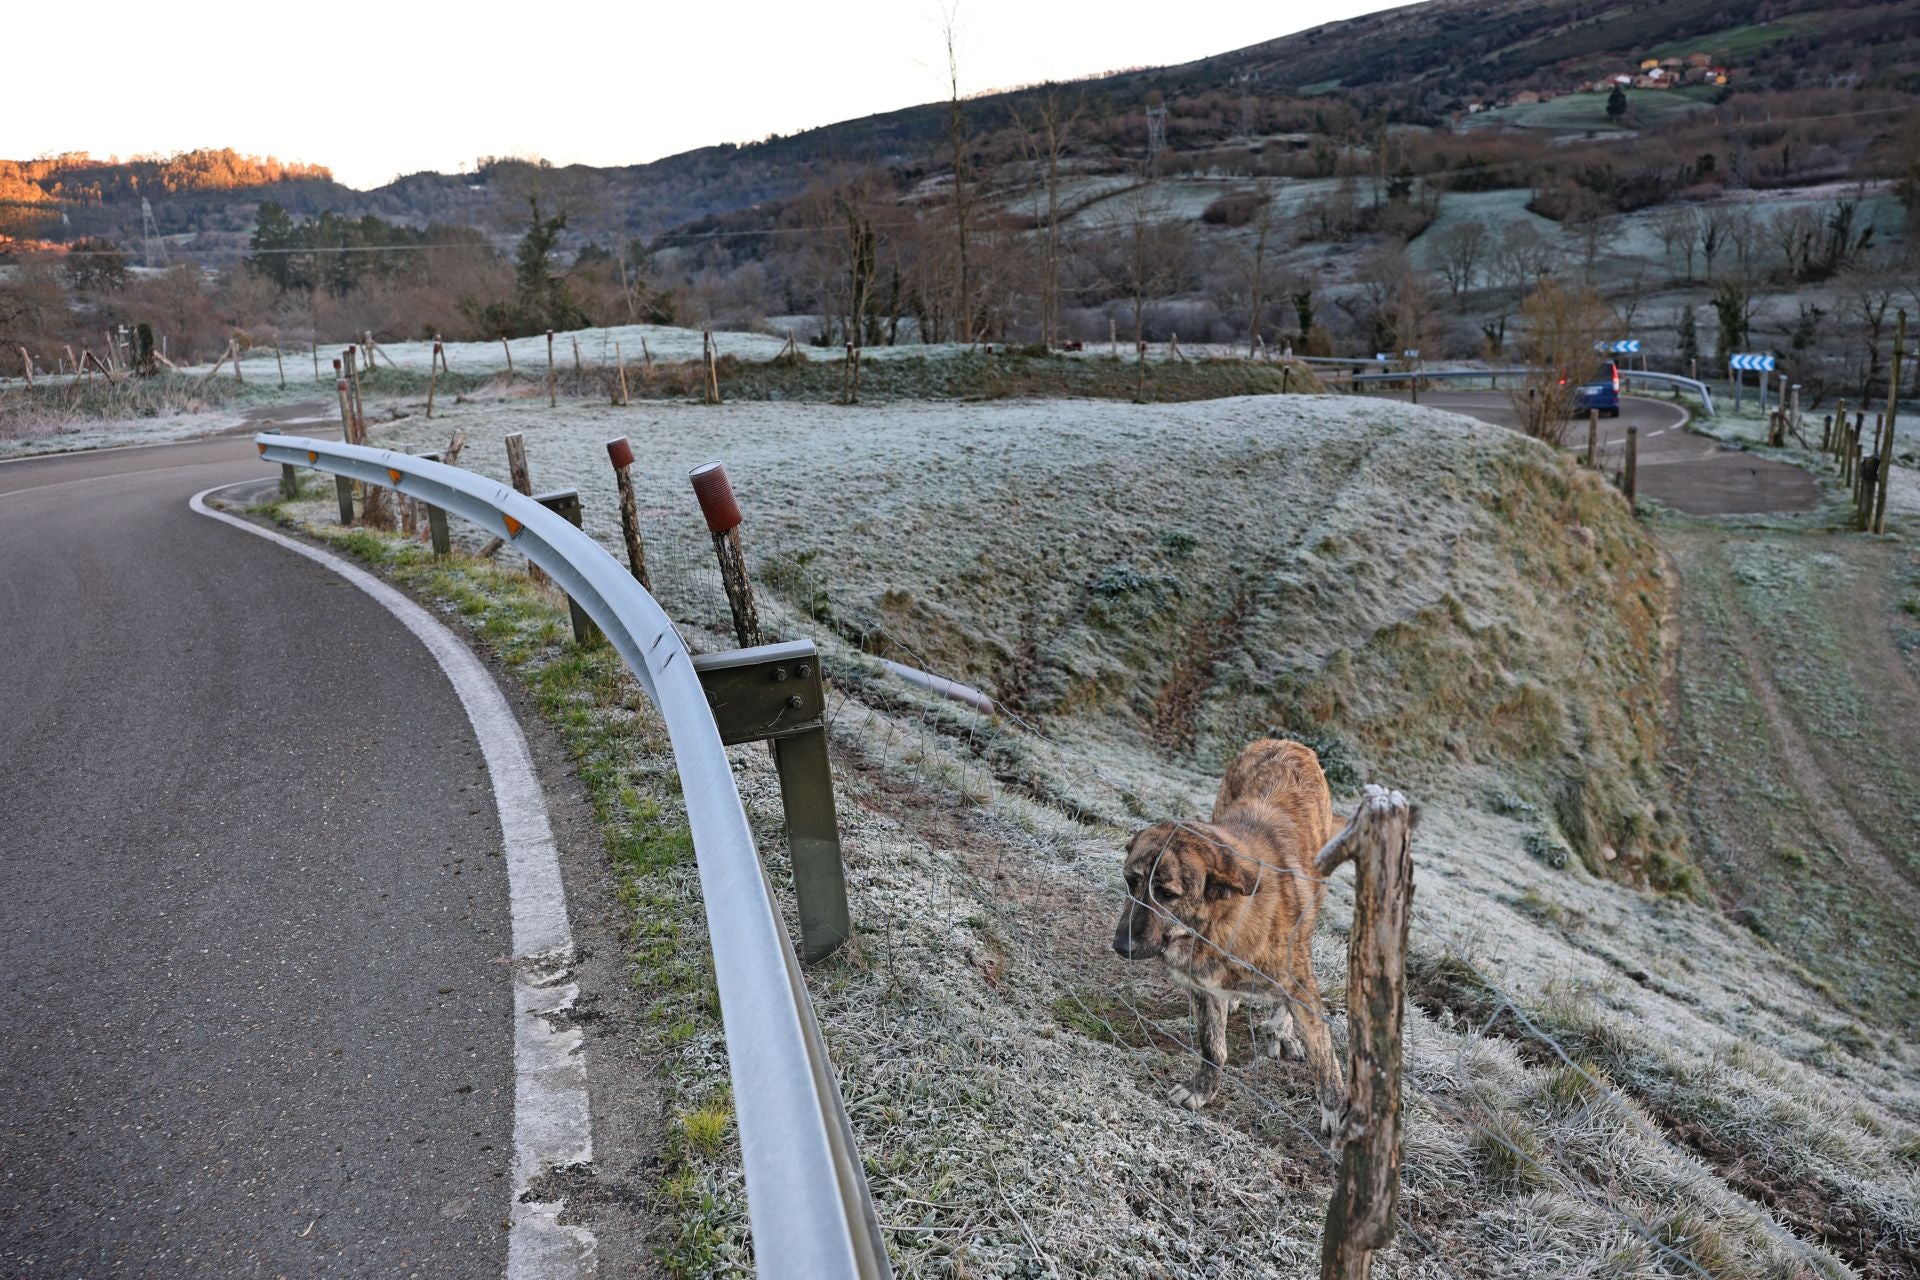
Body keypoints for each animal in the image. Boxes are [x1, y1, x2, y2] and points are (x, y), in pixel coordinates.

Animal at [1121, 736, 1344, 1128]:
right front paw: (1201, 1089)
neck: (1216, 928)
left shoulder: (1297, 981)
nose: (1121, 945)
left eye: (1167, 894)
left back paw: (1281, 1027)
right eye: (1130, 881)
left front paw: (1337, 1113)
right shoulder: (1202, 986)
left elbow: (1323, 1052)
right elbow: (1212, 1045)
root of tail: (1287, 742)